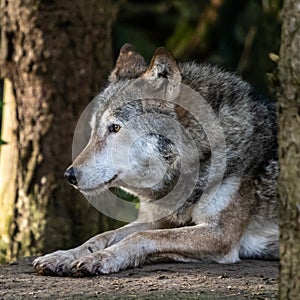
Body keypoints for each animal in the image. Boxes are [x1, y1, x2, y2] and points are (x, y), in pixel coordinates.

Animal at [32, 43, 278, 276]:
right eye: (93, 131)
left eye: (115, 128)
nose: (69, 175)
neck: (199, 154)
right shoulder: (159, 220)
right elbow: (102, 236)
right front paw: (63, 256)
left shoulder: (220, 234)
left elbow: (141, 236)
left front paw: (101, 258)